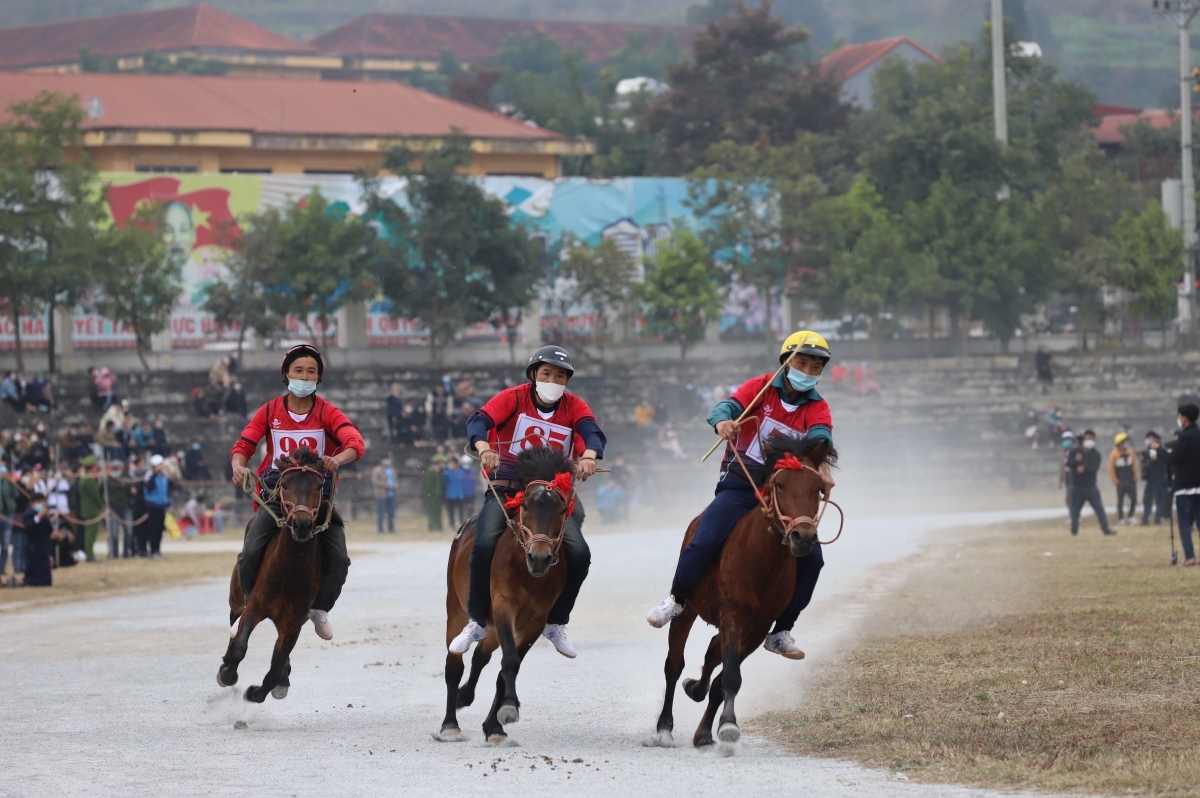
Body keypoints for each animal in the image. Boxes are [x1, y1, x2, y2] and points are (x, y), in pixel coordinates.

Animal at [216, 448, 333, 705]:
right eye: (285, 484)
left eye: (319, 485)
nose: (302, 524)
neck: (289, 570)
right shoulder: (255, 606)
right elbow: (240, 646)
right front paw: (228, 674)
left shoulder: (293, 623)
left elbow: (276, 666)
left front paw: (257, 692)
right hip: (236, 598)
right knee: (235, 625)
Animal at [436, 444, 576, 744]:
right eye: (524, 505)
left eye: (561, 510)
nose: (540, 558)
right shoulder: (503, 605)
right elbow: (509, 660)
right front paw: (510, 706)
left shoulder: (534, 621)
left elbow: (507, 667)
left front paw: (497, 723)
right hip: (456, 609)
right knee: (454, 665)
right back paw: (450, 723)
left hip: (493, 629)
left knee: (481, 656)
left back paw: (468, 698)